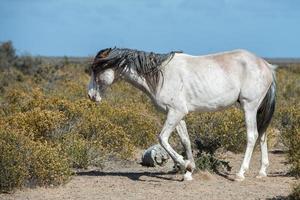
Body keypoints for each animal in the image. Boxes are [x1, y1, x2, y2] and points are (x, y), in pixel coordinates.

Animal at [87, 48, 276, 181]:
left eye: (96, 69)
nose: (91, 96)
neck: (160, 75)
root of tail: (266, 65)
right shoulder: (177, 115)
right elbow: (186, 141)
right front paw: (189, 171)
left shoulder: (175, 112)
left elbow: (162, 138)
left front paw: (185, 164)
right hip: (258, 109)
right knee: (263, 135)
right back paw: (262, 172)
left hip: (249, 107)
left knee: (252, 136)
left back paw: (240, 174)